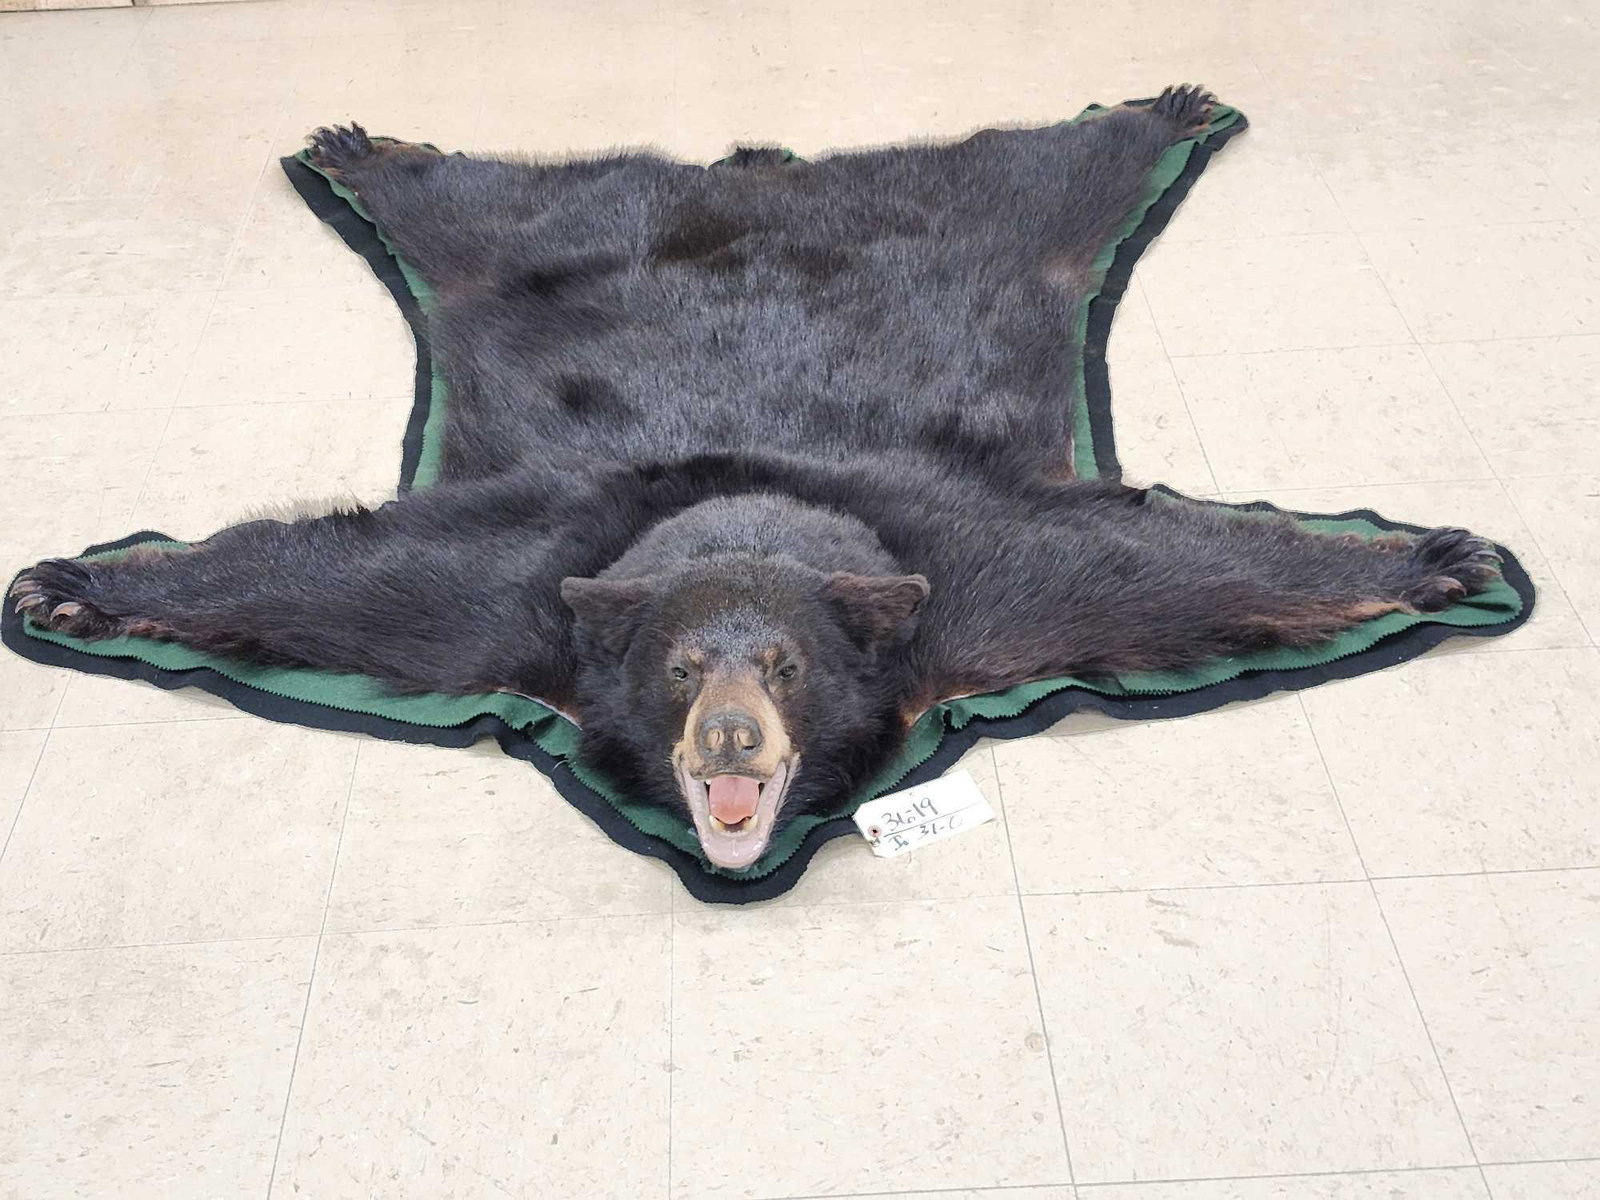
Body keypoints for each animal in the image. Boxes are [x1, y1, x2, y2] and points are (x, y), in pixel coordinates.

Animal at [10, 87, 1503, 869]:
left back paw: (1161, 109)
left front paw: (1435, 556)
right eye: (682, 670)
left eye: (783, 666)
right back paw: (370, 153)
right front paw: (80, 581)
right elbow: (343, 582)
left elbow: (1158, 570)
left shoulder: (971, 587)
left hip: (996, 227)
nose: (731, 739)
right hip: (520, 246)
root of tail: (755, 186)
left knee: (1055, 176)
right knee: (467, 209)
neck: (739, 519)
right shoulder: (513, 598)